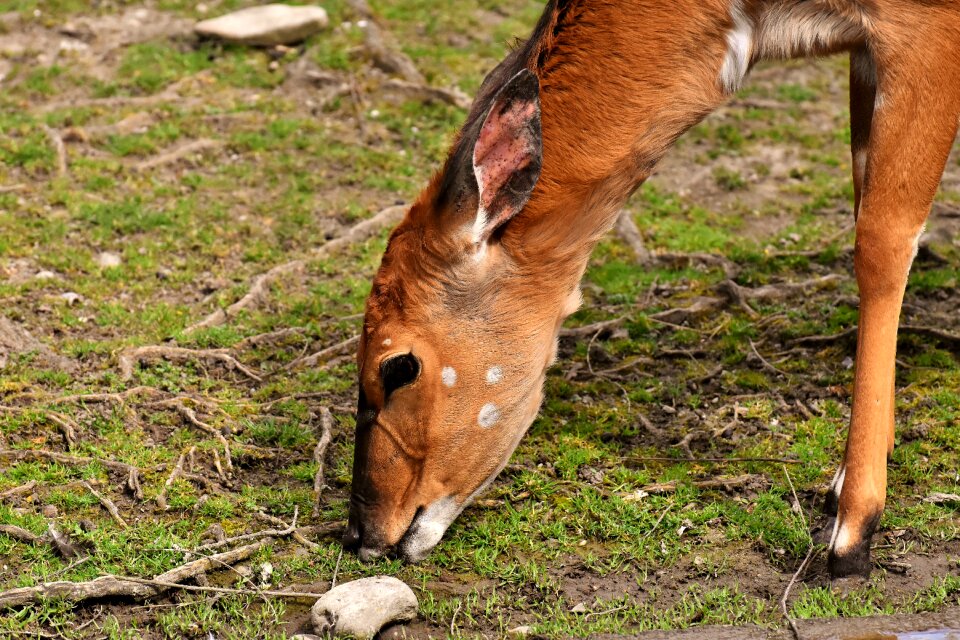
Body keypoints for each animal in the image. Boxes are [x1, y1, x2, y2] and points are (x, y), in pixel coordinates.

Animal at [344, 0, 960, 576]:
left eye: (397, 366)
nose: (361, 533)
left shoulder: (919, 30)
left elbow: (881, 241)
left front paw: (852, 533)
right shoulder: (865, 52)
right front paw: (841, 481)